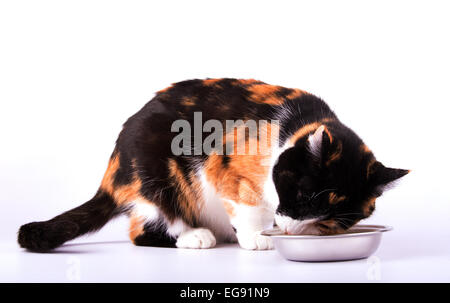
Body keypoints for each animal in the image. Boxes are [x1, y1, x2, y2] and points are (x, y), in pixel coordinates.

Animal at [17, 78, 408, 252]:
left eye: (328, 221)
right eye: (302, 196)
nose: (291, 230)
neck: (292, 128)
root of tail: (112, 173)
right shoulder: (227, 169)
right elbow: (247, 206)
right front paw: (257, 237)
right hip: (158, 171)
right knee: (146, 226)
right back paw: (196, 235)